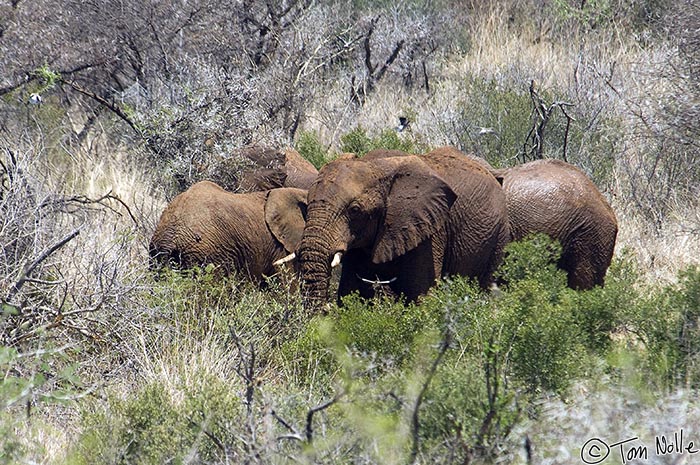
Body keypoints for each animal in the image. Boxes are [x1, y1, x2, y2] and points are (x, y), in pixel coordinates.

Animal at [296, 147, 508, 306]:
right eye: (307, 205)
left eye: (355, 210)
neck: (376, 166)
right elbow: (350, 292)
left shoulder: (430, 231)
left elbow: (421, 293)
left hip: (498, 236)